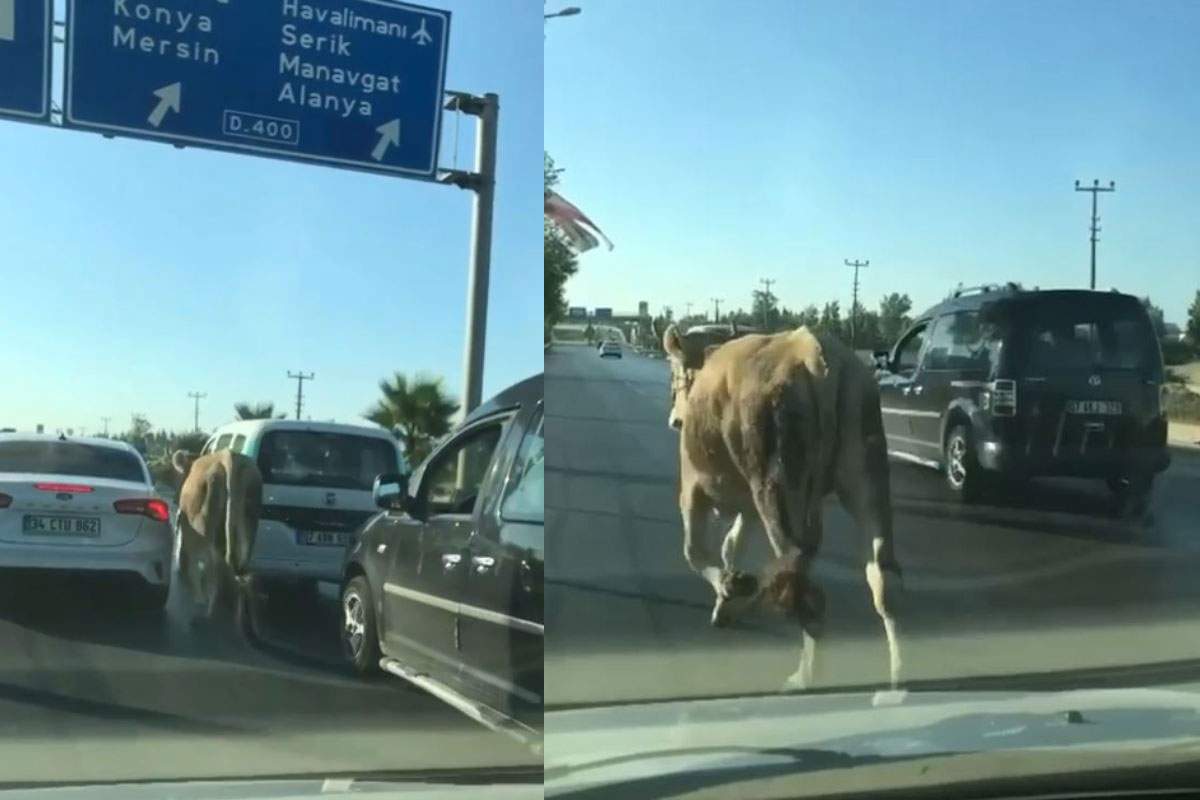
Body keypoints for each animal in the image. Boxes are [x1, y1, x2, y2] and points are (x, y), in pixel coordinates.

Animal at [169, 448, 260, 628]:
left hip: (203, 533)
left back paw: (202, 611)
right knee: (241, 574)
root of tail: (228, 458)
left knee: (209, 573)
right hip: (249, 524)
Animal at [667, 323, 902, 695]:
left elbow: (696, 551)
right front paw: (729, 599)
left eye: (675, 372)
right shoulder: (764, 505)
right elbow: (733, 545)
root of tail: (814, 356)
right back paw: (897, 684)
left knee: (802, 582)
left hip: (775, 485)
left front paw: (730, 589)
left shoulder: (694, 487)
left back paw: (806, 677)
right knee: (882, 578)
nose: (674, 419)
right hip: (867, 473)